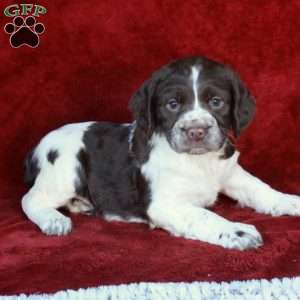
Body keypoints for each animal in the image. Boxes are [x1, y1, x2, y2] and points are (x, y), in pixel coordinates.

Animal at [21, 56, 300, 251]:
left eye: (216, 102)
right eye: (172, 104)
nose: (196, 131)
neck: (198, 161)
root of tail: (35, 148)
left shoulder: (230, 172)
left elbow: (260, 189)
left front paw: (290, 201)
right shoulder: (165, 204)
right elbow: (205, 215)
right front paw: (237, 232)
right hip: (65, 170)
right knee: (30, 199)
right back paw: (54, 219)